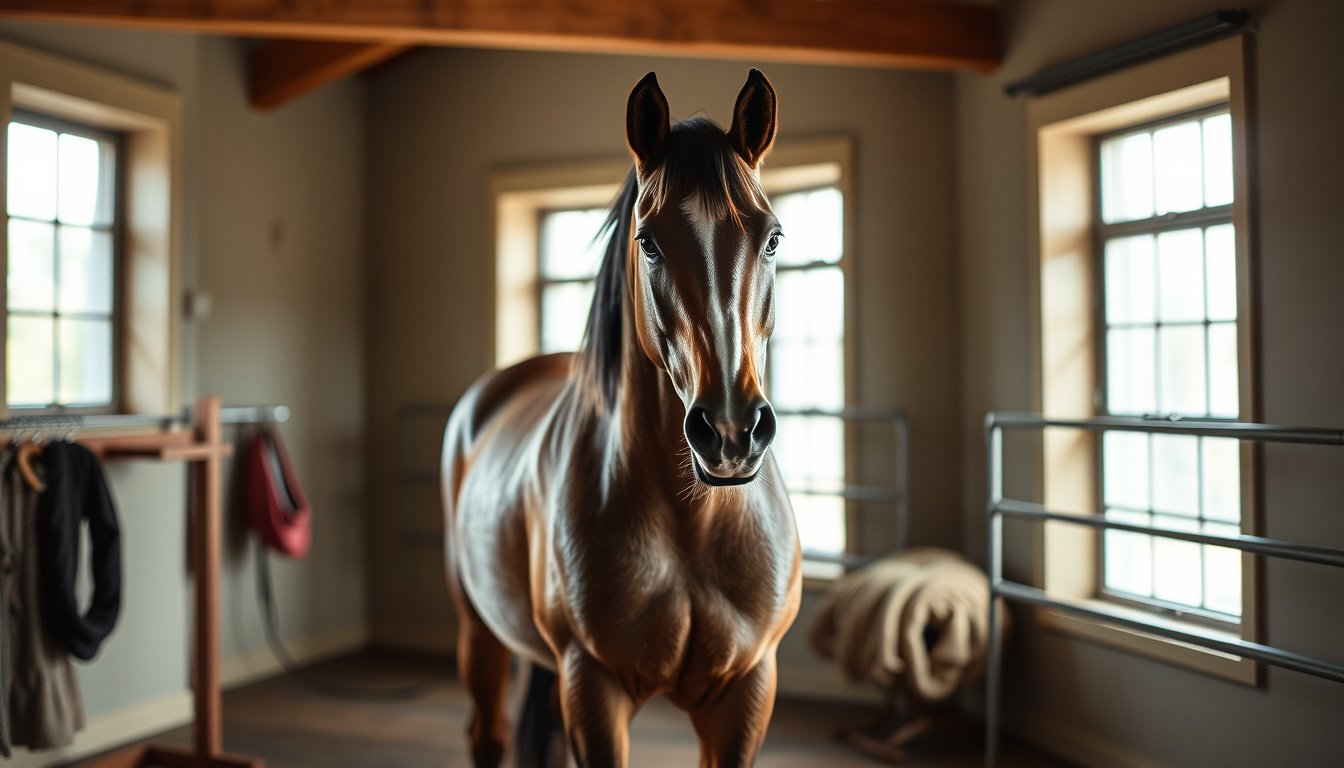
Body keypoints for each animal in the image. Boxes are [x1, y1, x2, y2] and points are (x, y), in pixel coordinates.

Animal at [442, 69, 801, 768]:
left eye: (772, 237)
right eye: (648, 241)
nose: (731, 431)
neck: (691, 528)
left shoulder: (747, 691)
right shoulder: (593, 687)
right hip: (479, 634)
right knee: (487, 735)